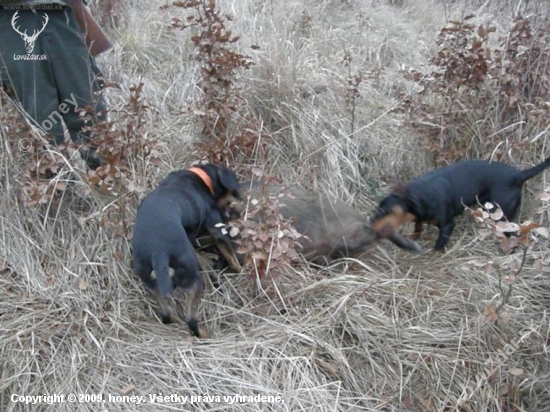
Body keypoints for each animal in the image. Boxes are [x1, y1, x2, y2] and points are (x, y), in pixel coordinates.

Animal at [132, 164, 244, 338]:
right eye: (235, 191)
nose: (242, 201)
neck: (202, 176)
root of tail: (159, 253)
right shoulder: (216, 228)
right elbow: (232, 259)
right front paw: (239, 270)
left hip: (150, 284)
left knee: (165, 315)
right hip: (194, 280)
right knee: (191, 320)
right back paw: (205, 334)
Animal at [368, 157, 550, 248]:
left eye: (382, 211)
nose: (369, 225)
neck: (419, 196)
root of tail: (518, 175)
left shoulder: (448, 225)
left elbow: (438, 246)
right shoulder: (419, 218)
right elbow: (418, 227)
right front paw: (414, 237)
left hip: (502, 216)